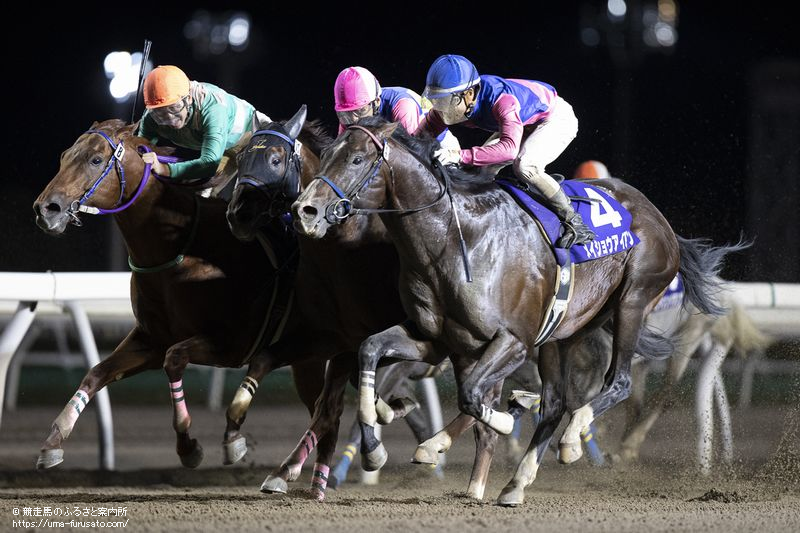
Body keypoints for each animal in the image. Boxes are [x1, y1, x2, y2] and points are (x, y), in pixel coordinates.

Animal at [32, 120, 324, 470]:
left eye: (95, 160)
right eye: (64, 156)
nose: (46, 209)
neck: (180, 247)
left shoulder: (234, 341)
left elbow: (174, 359)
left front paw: (192, 446)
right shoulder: (151, 340)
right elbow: (95, 373)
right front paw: (53, 440)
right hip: (307, 358)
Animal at [292, 118, 732, 504]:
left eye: (357, 159)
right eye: (327, 153)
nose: (305, 210)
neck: (453, 239)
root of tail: (658, 217)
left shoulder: (513, 341)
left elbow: (472, 396)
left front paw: (499, 418)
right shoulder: (436, 340)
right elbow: (370, 351)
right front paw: (376, 449)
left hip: (633, 300)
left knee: (617, 382)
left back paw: (568, 439)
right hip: (563, 334)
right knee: (555, 403)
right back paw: (516, 481)